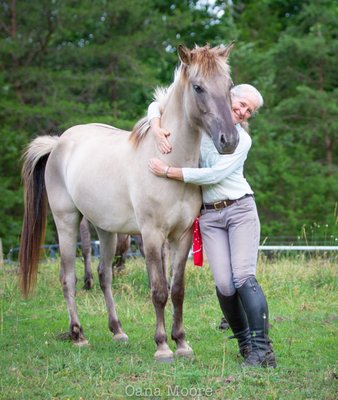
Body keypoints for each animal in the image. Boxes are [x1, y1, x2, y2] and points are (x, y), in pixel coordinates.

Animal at [18, 43, 238, 362]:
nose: (229, 140)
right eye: (198, 87)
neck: (167, 159)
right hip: (67, 221)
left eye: (228, 85)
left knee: (104, 275)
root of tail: (58, 143)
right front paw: (162, 346)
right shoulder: (151, 235)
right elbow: (158, 290)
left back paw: (117, 330)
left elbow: (177, 289)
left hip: (106, 229)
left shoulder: (182, 235)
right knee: (68, 277)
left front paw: (182, 343)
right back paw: (78, 335)